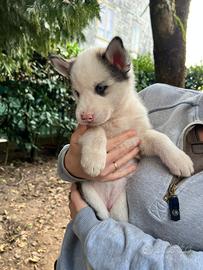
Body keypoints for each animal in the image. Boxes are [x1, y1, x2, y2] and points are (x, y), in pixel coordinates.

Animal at [50, 36, 193, 221]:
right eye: (77, 93)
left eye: (100, 88)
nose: (85, 117)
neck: (115, 118)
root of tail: (108, 203)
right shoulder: (80, 132)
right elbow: (95, 130)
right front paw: (94, 160)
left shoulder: (138, 140)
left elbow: (159, 137)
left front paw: (179, 159)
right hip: (89, 194)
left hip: (120, 206)